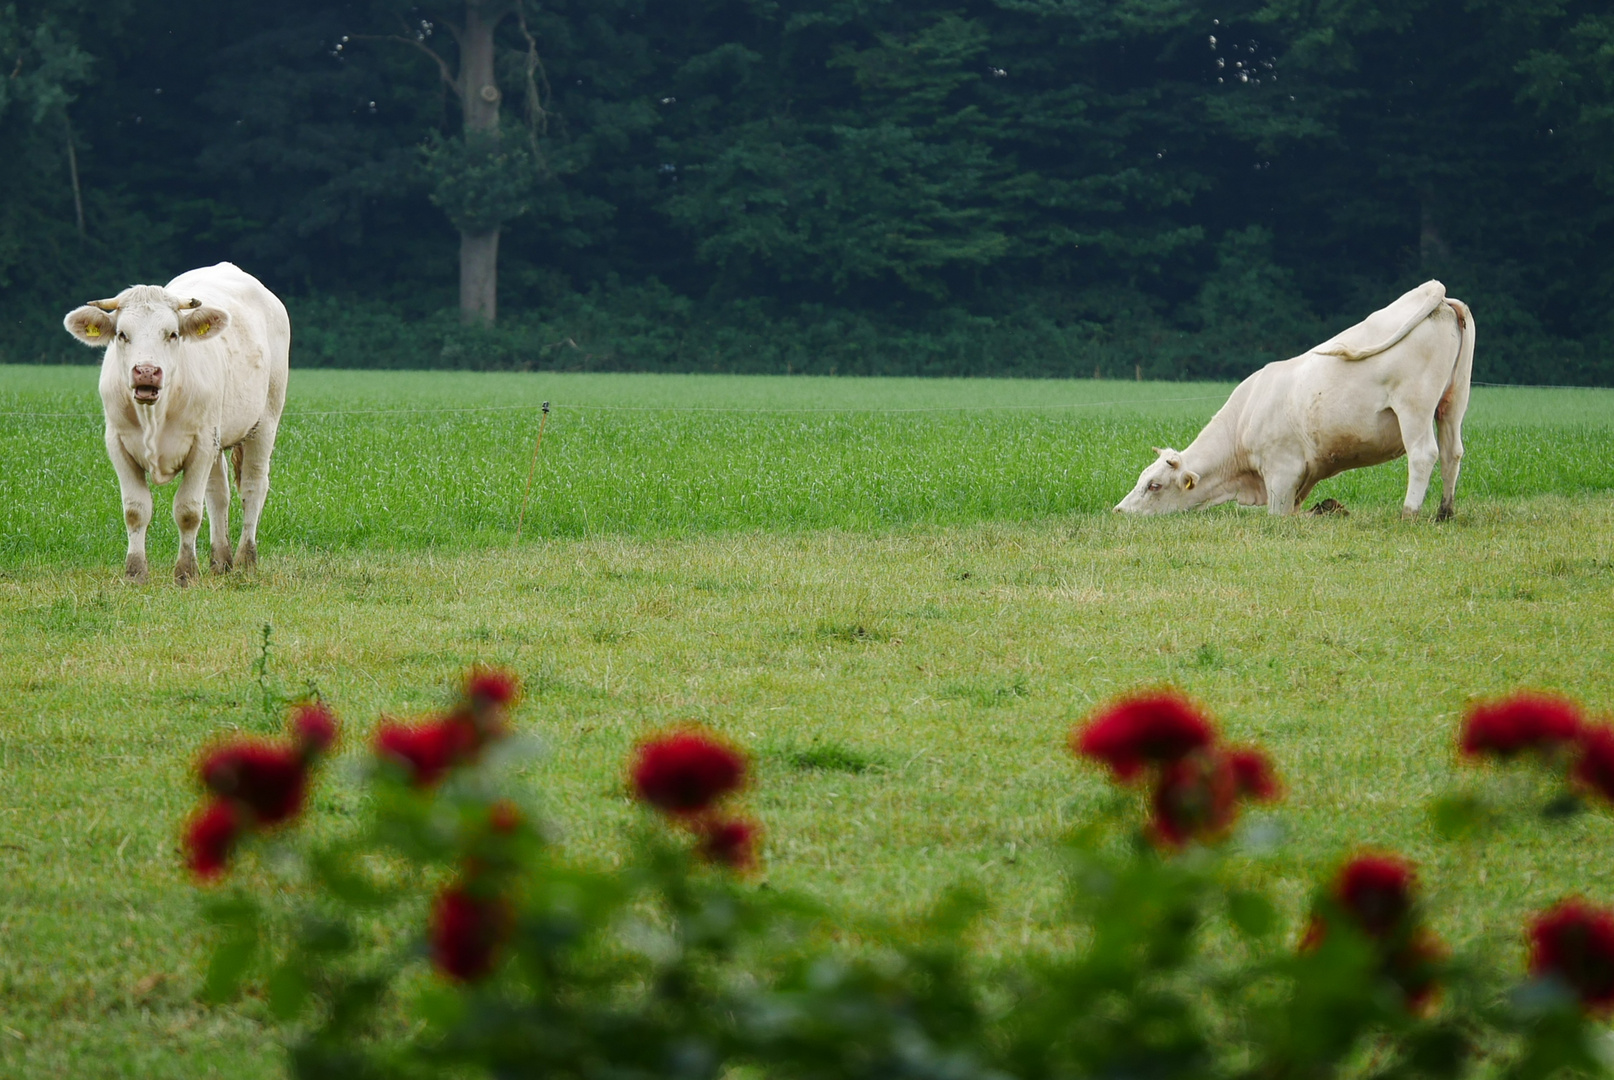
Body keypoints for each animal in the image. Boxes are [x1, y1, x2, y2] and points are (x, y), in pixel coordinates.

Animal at [64, 261, 290, 581]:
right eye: (122, 334)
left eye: (172, 334)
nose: (146, 371)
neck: (154, 415)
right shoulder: (118, 444)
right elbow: (135, 510)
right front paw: (135, 572)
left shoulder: (201, 444)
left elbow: (188, 511)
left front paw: (186, 573)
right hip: (219, 437)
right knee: (219, 494)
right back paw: (220, 561)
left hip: (265, 421)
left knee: (253, 487)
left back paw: (246, 560)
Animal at [1110, 280, 1478, 519]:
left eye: (1154, 485)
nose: (1119, 511)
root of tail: (1436, 294)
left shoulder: (1281, 472)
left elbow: (1278, 516)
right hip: (1453, 402)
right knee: (1452, 453)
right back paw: (1444, 513)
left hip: (1414, 407)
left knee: (1423, 454)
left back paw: (1409, 513)